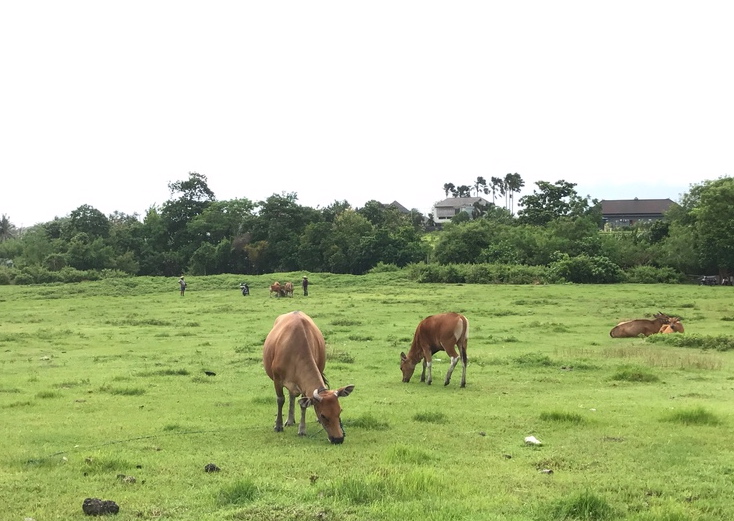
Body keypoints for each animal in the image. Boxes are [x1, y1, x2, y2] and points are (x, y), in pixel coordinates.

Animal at [264, 310, 356, 444]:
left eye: (340, 411)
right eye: (323, 415)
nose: (338, 438)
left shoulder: (303, 386)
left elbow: (303, 405)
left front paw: (302, 429)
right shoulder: (277, 379)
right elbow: (280, 400)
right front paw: (278, 425)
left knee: (292, 396)